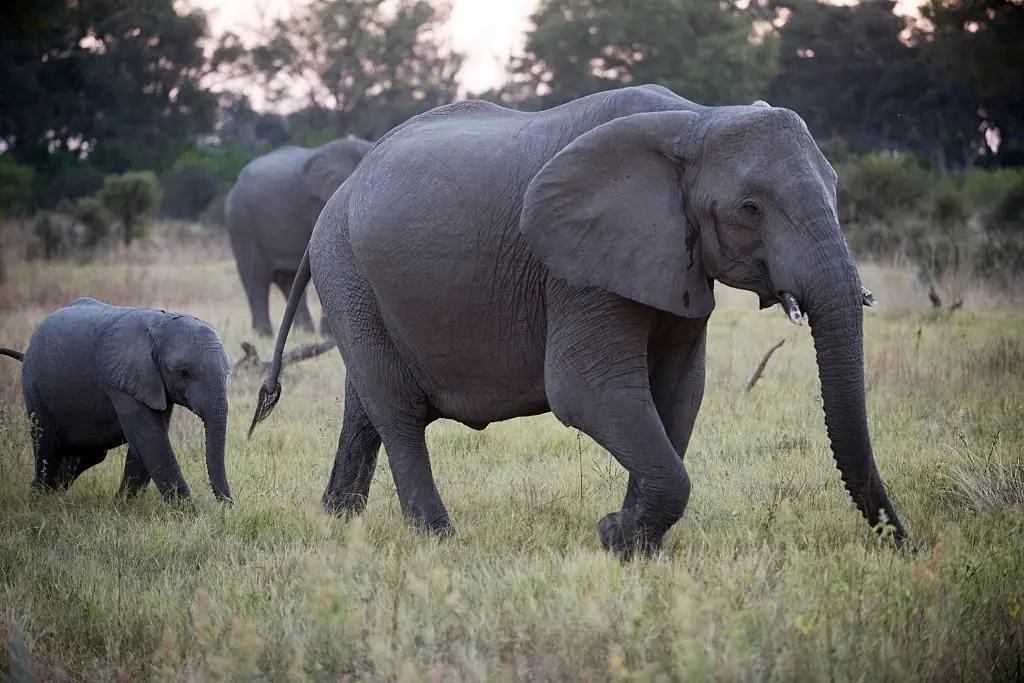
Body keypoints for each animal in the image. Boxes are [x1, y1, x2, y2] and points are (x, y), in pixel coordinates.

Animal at [0, 297, 232, 507]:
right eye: (184, 373)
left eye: (228, 373)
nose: (227, 508)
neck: (160, 325)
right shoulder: (123, 380)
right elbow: (151, 440)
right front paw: (192, 516)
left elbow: (146, 445)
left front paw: (120, 508)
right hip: (34, 385)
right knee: (48, 447)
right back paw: (39, 499)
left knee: (89, 454)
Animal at [225, 135, 375, 338]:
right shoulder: (319, 202)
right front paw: (328, 337)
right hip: (241, 221)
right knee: (257, 278)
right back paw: (264, 336)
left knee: (288, 280)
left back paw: (304, 333)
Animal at [248, 84, 908, 558]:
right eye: (751, 209)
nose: (901, 543)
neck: (696, 120)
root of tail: (340, 195)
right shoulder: (575, 269)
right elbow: (586, 391)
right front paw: (615, 536)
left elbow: (678, 395)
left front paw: (629, 542)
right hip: (347, 269)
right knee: (398, 413)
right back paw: (440, 542)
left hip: (357, 282)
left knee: (365, 407)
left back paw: (337, 523)